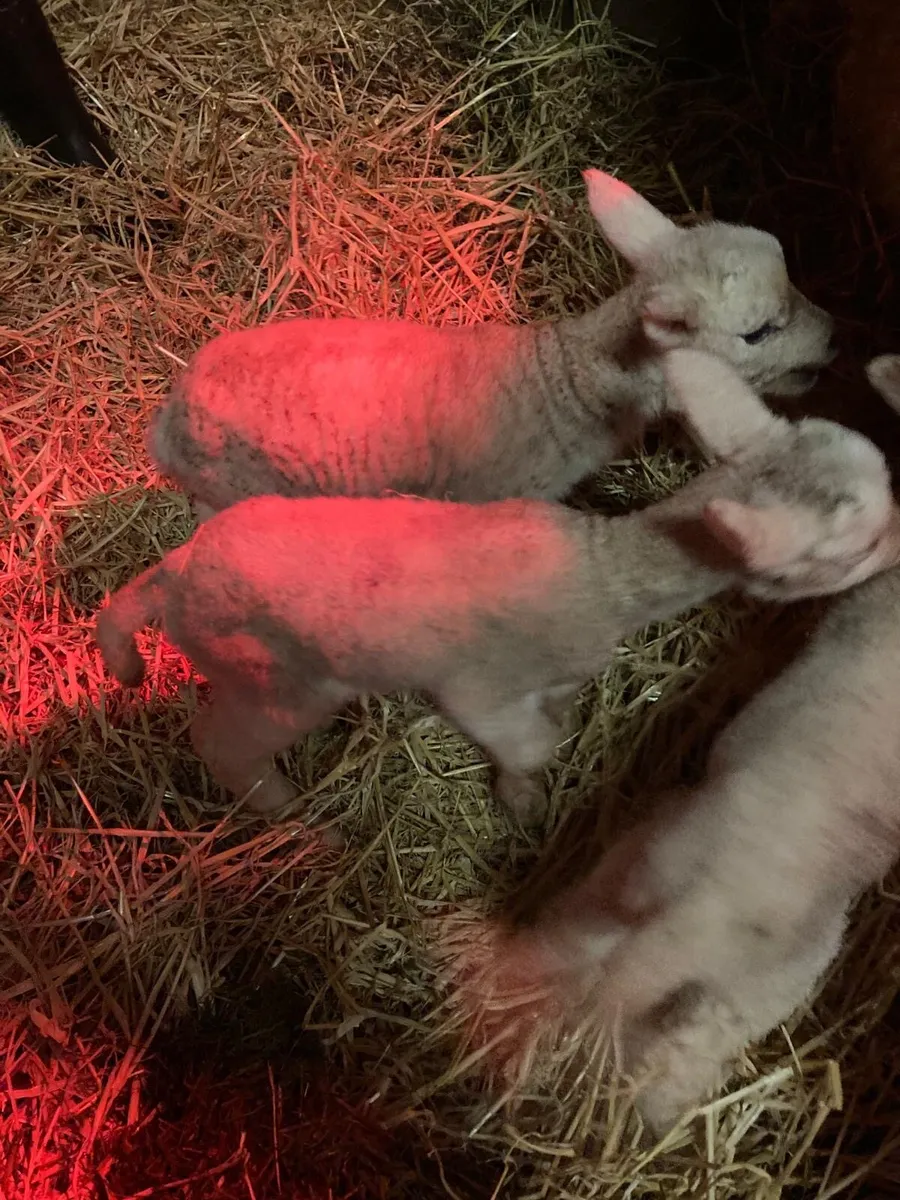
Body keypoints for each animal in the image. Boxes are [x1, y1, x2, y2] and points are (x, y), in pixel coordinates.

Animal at [96, 350, 900, 827]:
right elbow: (530, 742)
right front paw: (525, 802)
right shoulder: (480, 689)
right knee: (220, 741)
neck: (604, 573)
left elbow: (554, 718)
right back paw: (287, 810)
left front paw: (527, 785)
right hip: (274, 679)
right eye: (856, 547)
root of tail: (172, 577)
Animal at [457, 354, 900, 1134]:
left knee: (556, 951)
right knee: (674, 1067)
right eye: (863, 542)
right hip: (766, 979)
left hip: (621, 866)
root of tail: (678, 928)